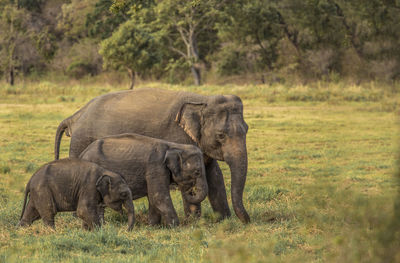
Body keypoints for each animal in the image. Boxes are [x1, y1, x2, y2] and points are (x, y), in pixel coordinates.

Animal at [79, 134, 209, 227]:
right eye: (197, 172)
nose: (190, 190)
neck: (174, 146)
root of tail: (82, 153)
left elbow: (152, 198)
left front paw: (153, 226)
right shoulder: (156, 167)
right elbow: (158, 196)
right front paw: (176, 227)